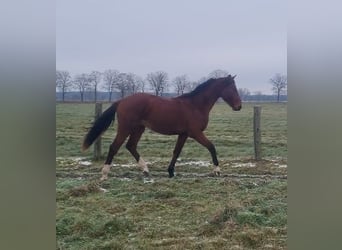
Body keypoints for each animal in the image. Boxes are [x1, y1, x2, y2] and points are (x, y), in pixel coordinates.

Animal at [82, 74, 242, 180]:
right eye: (233, 88)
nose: (239, 106)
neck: (195, 105)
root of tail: (121, 101)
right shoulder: (195, 133)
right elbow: (211, 147)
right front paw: (217, 170)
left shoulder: (183, 134)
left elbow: (176, 152)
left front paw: (170, 171)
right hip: (126, 128)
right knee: (114, 147)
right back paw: (104, 174)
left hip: (139, 128)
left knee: (131, 146)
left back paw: (145, 170)